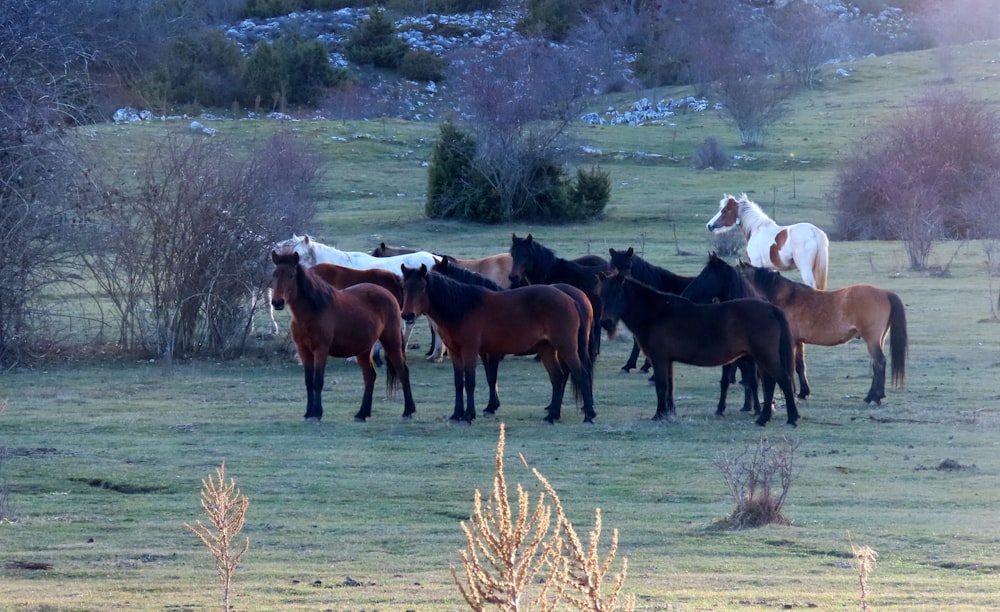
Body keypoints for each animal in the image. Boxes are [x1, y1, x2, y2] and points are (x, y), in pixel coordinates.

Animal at [268, 251, 416, 424]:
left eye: (291, 276)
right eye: (274, 275)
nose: (277, 302)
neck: (312, 311)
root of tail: (389, 294)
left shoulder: (321, 350)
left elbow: (318, 381)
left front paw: (316, 413)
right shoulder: (304, 351)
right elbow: (308, 382)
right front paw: (308, 413)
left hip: (391, 342)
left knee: (402, 372)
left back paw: (408, 411)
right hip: (363, 350)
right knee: (370, 377)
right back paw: (362, 413)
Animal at [398, 262, 592, 426]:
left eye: (422, 288)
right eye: (404, 287)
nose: (407, 315)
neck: (462, 308)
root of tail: (571, 299)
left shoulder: (471, 351)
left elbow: (471, 382)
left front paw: (468, 416)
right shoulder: (455, 352)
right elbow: (459, 382)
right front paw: (456, 414)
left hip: (566, 348)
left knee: (581, 374)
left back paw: (588, 415)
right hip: (547, 349)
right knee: (557, 377)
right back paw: (552, 415)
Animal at [596, 270, 800, 428]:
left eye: (617, 294)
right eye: (601, 295)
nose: (606, 322)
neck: (656, 312)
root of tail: (771, 308)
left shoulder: (659, 359)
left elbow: (661, 387)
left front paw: (659, 415)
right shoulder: (668, 360)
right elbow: (669, 387)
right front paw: (670, 413)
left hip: (765, 356)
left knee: (783, 379)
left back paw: (790, 419)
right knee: (769, 383)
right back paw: (763, 418)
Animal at [736, 260, 908, 404]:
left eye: (737, 273)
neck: (786, 297)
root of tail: (885, 293)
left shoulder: (791, 341)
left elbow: (791, 366)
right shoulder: (799, 341)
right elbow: (800, 366)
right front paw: (804, 392)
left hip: (871, 340)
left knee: (879, 362)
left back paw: (875, 396)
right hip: (879, 339)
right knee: (876, 364)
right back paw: (872, 395)